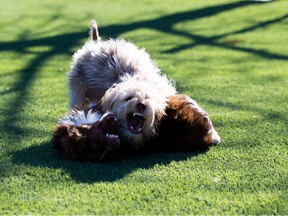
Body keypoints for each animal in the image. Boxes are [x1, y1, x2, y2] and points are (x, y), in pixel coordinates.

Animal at [67, 20, 176, 149]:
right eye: (128, 98)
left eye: (148, 98)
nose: (141, 105)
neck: (138, 78)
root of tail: (95, 43)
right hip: (78, 91)